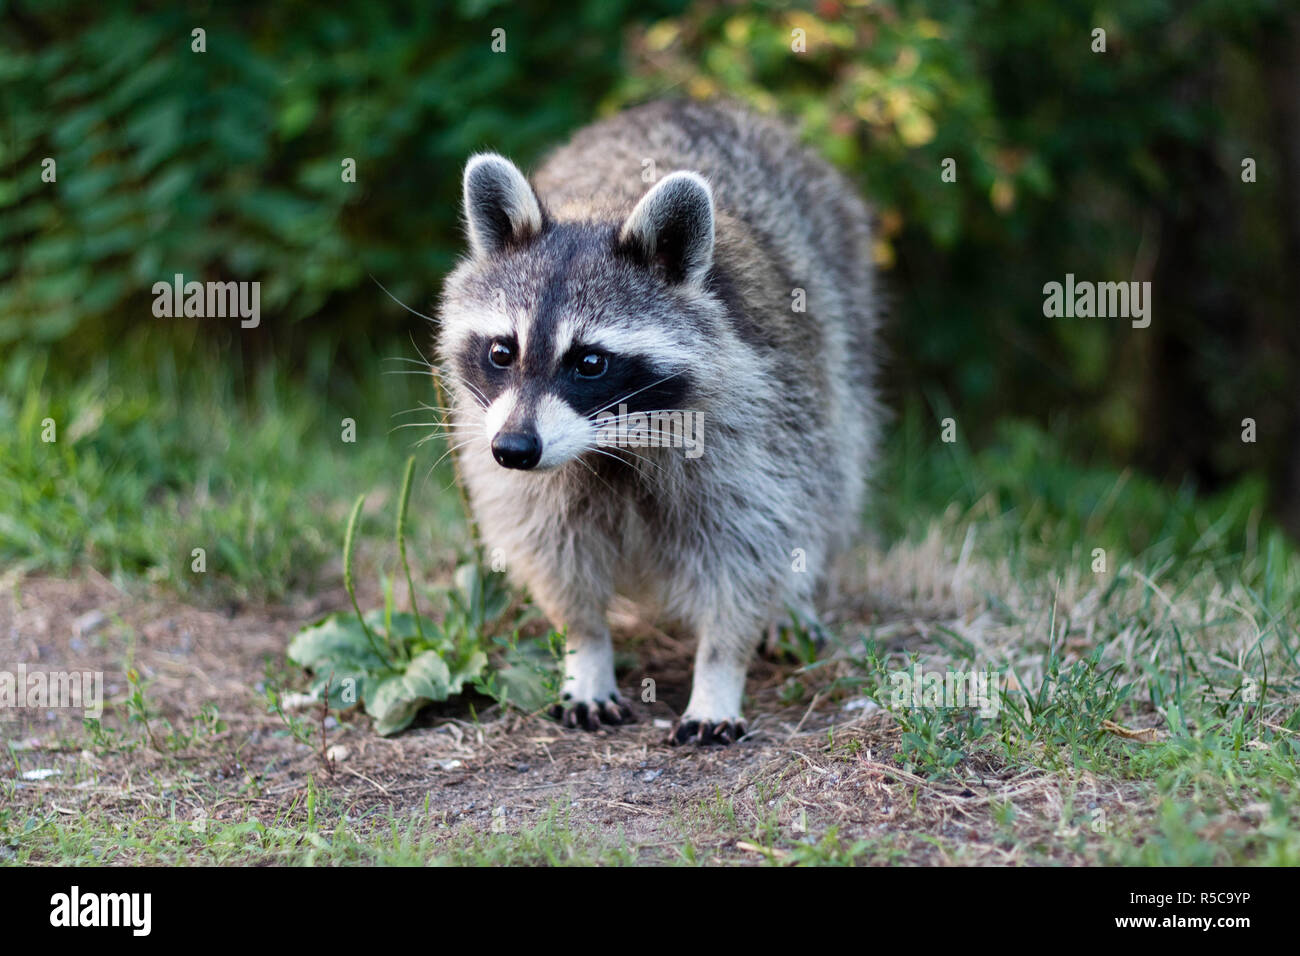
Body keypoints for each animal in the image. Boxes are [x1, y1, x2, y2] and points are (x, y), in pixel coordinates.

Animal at [439, 97, 883, 743]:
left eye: (590, 363)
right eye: (502, 352)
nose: (515, 450)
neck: (610, 446)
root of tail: (692, 102)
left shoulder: (762, 420)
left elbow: (750, 547)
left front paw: (720, 669)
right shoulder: (507, 448)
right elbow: (553, 551)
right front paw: (587, 651)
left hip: (840, 330)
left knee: (831, 478)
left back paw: (793, 598)